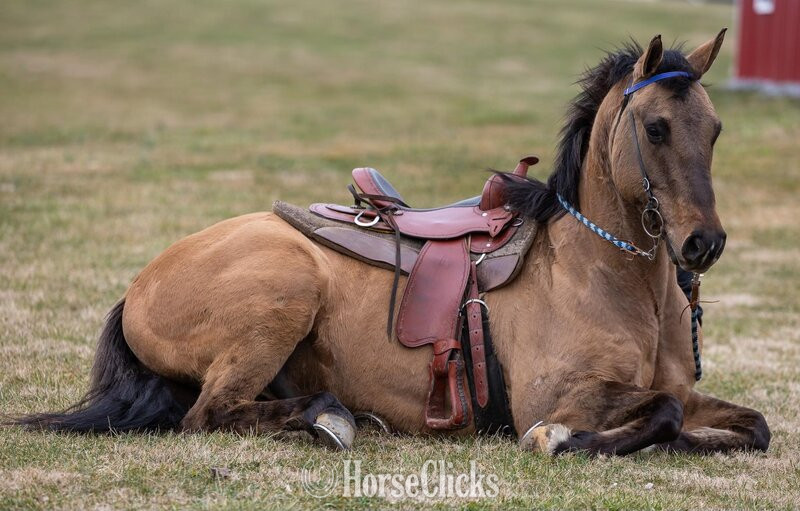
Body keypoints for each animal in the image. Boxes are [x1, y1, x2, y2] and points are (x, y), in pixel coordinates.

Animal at [13, 30, 770, 455]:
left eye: (715, 129)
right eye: (656, 128)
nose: (703, 244)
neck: (602, 272)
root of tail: (140, 284)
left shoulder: (674, 391)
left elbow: (746, 424)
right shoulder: (559, 392)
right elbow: (654, 415)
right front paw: (559, 440)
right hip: (283, 290)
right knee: (209, 414)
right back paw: (330, 418)